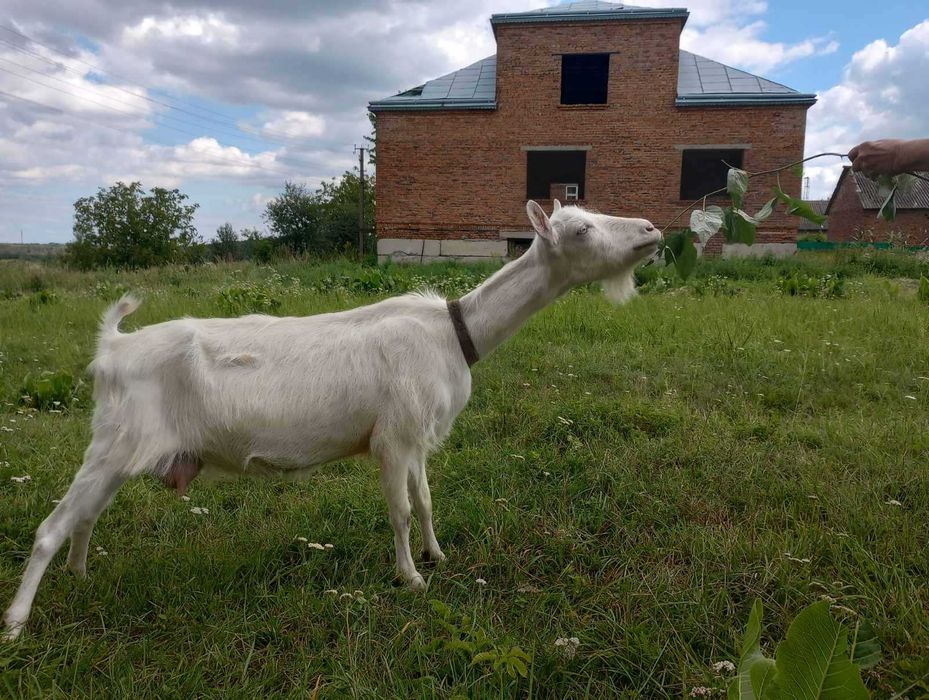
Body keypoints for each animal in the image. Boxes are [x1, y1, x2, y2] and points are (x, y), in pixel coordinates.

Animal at [2, 200, 661, 640]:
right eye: (582, 228)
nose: (653, 231)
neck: (454, 332)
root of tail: (112, 346)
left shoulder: (415, 437)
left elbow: (425, 503)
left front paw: (438, 556)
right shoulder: (392, 439)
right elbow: (399, 511)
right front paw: (410, 580)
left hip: (120, 449)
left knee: (86, 516)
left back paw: (82, 576)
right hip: (113, 443)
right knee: (51, 526)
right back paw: (15, 623)